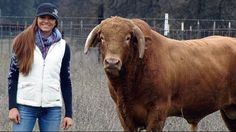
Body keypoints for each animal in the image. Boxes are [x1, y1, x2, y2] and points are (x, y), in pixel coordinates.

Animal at [84, 16, 236, 131]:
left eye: (127, 38)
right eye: (102, 37)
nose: (112, 62)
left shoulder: (157, 113)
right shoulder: (124, 115)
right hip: (229, 112)